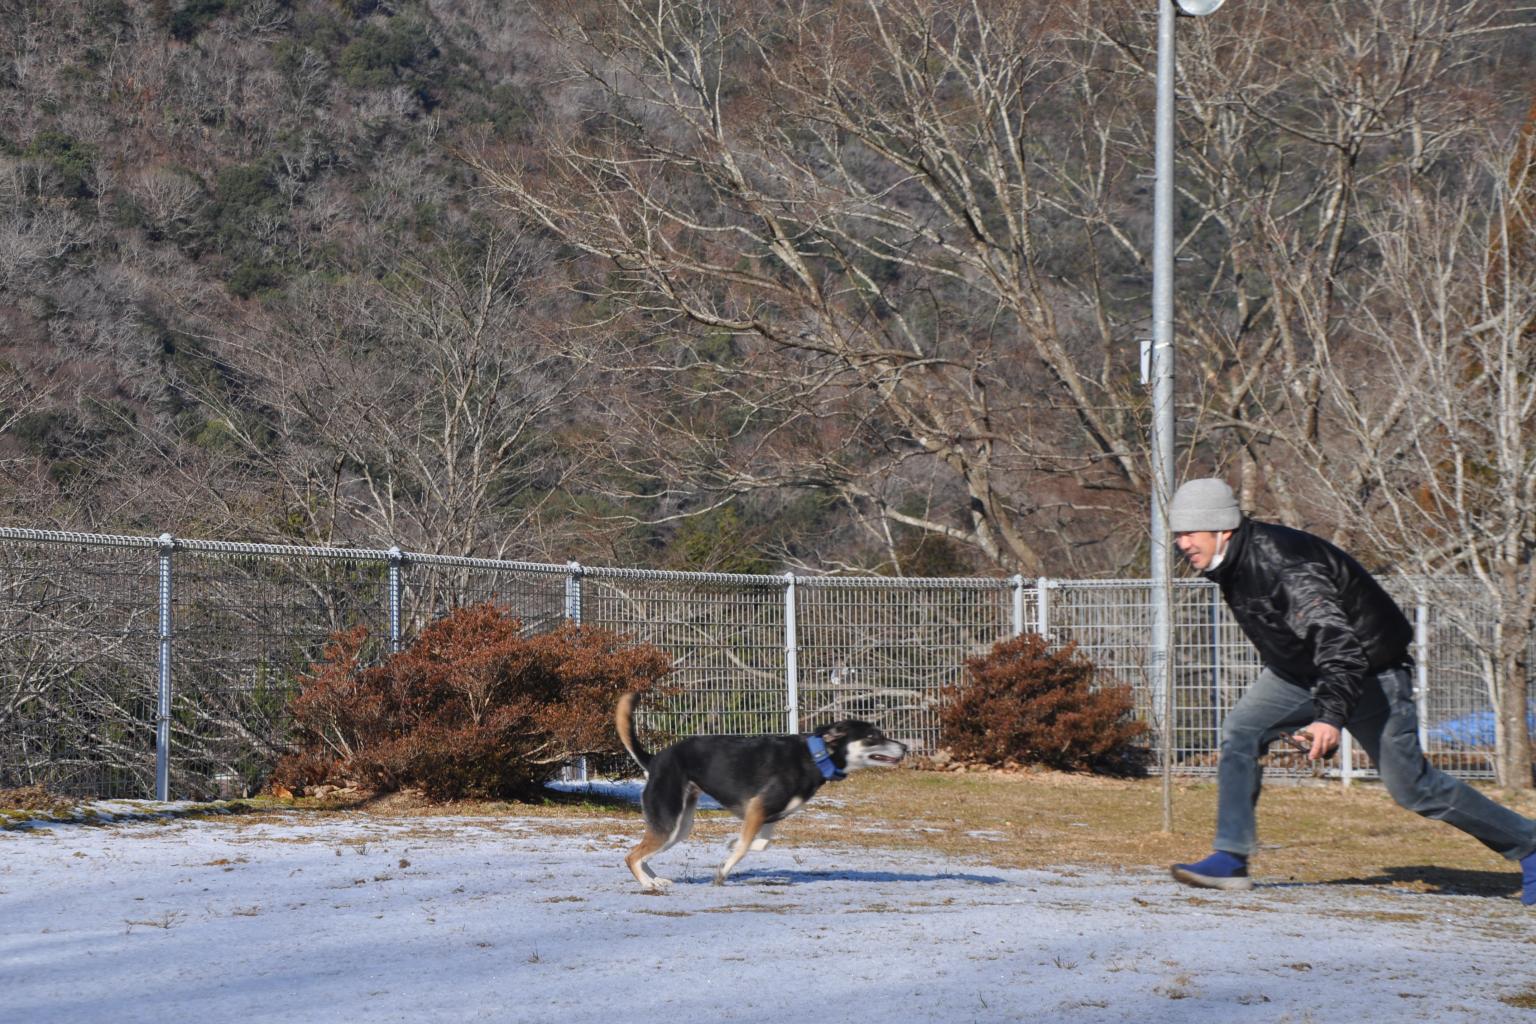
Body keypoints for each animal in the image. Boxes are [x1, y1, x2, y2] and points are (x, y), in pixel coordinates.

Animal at [614, 691, 907, 890]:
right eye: (872, 736)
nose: (905, 747)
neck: (815, 756)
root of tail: (654, 760)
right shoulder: (758, 808)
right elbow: (745, 848)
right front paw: (723, 869)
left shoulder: (767, 815)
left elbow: (760, 843)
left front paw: (731, 843)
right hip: (670, 822)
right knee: (631, 856)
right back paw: (647, 884)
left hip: (680, 827)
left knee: (642, 853)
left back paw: (654, 879)